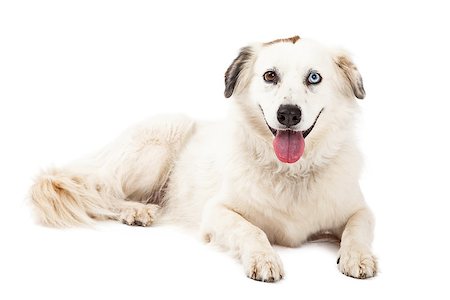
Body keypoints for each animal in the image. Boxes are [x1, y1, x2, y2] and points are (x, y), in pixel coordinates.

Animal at [29, 35, 376, 282]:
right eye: (270, 76)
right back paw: (136, 210)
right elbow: (251, 230)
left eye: (314, 78)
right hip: (163, 136)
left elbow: (357, 228)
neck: (291, 173)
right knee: (103, 192)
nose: (288, 114)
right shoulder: (216, 212)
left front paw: (357, 256)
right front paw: (263, 258)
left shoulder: (359, 208)